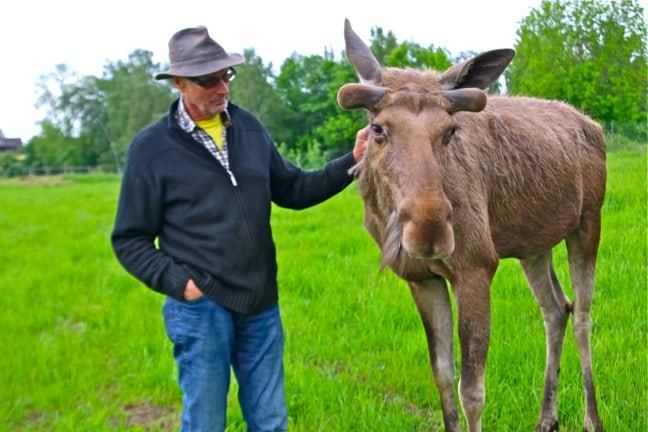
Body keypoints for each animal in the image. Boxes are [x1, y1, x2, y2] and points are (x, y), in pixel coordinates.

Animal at [340, 18, 608, 430]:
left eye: (451, 130)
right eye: (378, 128)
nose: (430, 230)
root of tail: (595, 127)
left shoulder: (476, 266)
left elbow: (473, 391)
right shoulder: (421, 279)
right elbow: (443, 377)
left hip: (588, 221)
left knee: (581, 315)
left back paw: (591, 418)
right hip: (535, 245)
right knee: (555, 309)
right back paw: (547, 416)